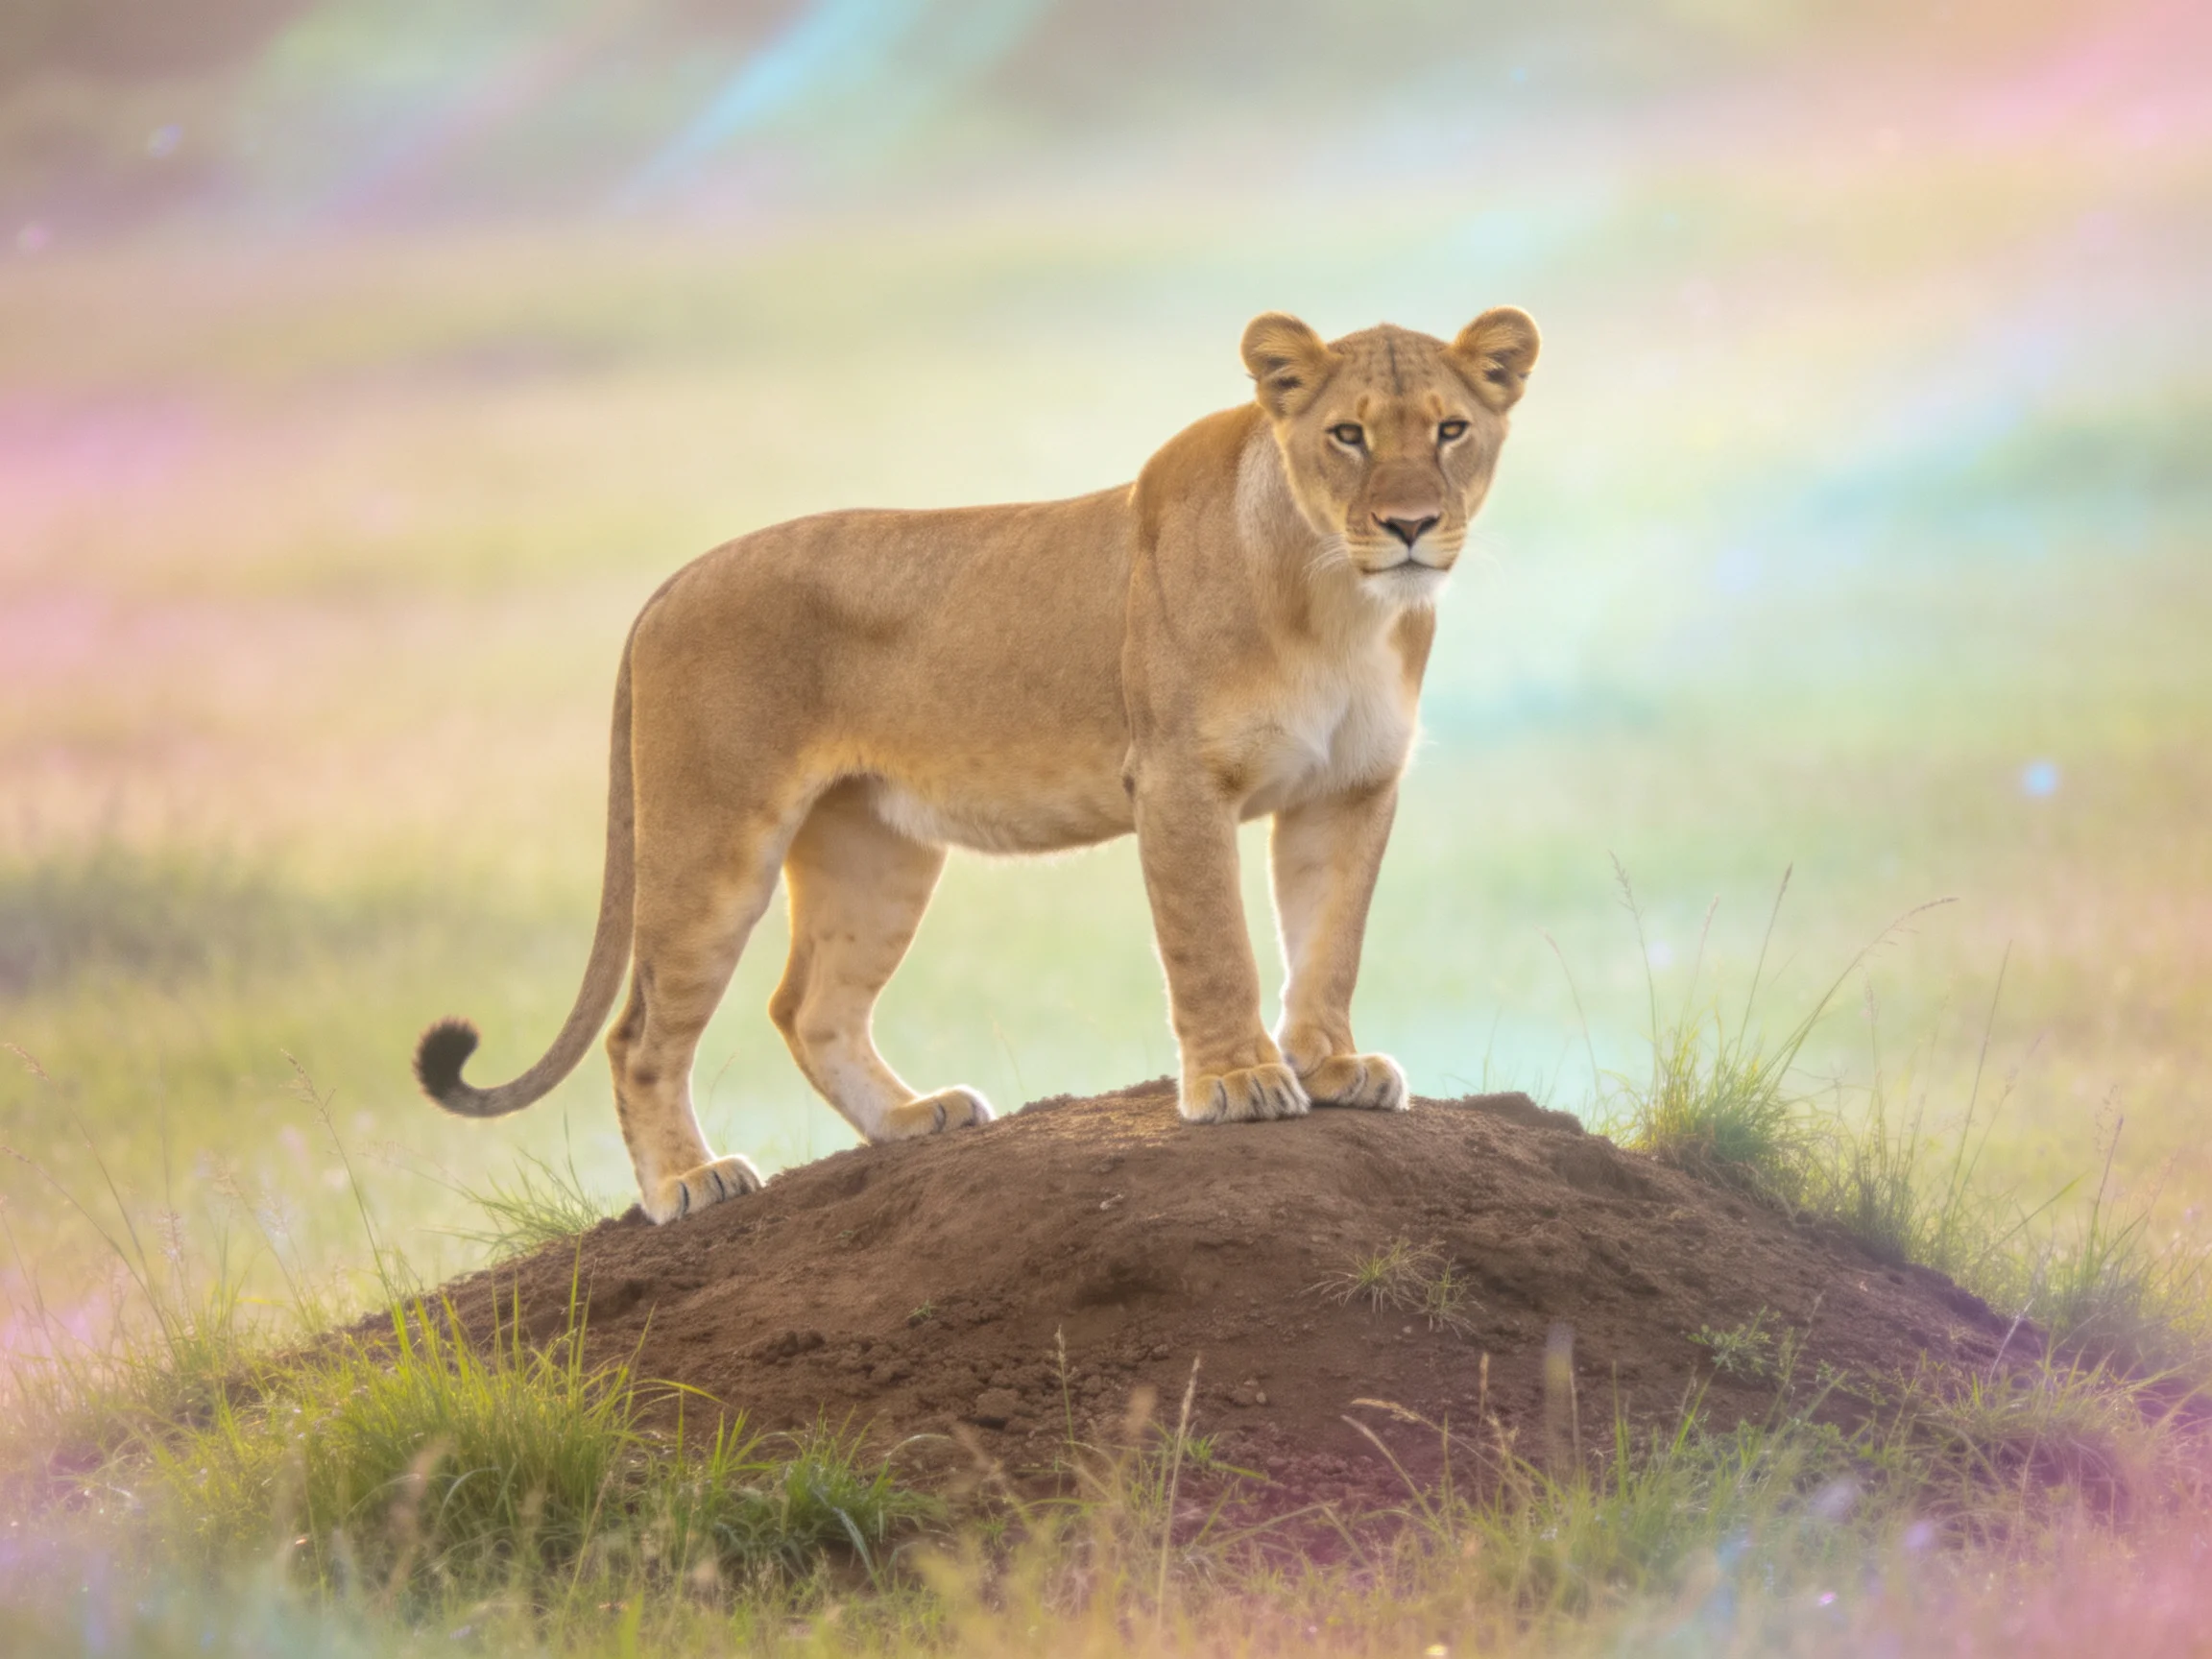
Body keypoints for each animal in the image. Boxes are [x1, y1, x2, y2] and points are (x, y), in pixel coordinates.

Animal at [414, 307, 1540, 1222]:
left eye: (1450, 430)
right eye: (1348, 434)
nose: (1408, 527)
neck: (1342, 601)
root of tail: (666, 584)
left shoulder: (1351, 789)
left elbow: (1330, 939)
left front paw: (1333, 1065)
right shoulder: (1180, 781)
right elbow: (1215, 944)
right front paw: (1240, 1085)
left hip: (875, 850)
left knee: (810, 1007)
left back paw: (916, 1119)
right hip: (712, 838)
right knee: (642, 1034)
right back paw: (689, 1185)